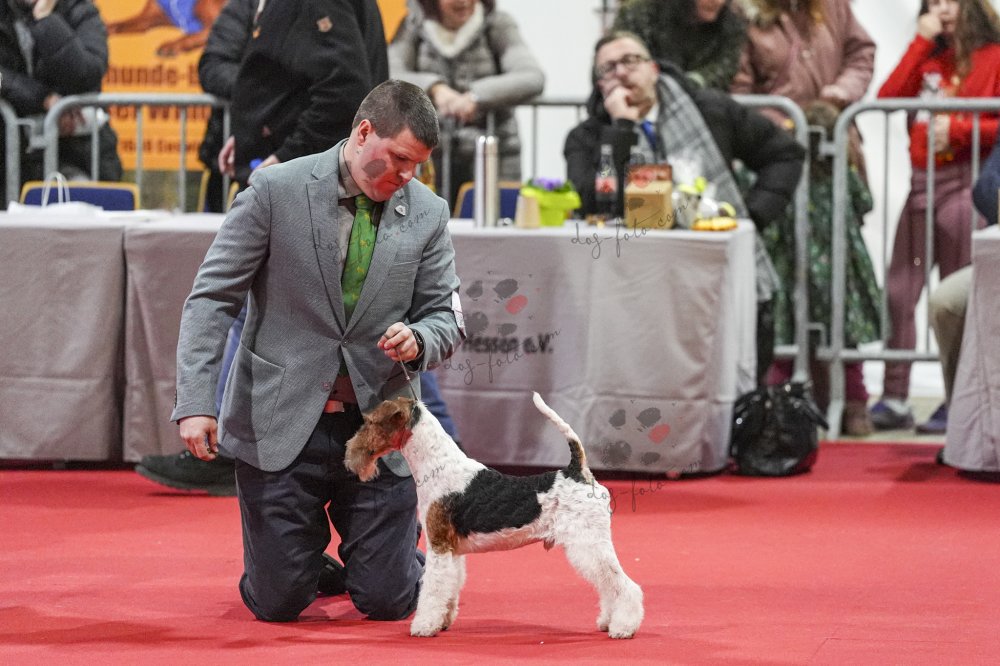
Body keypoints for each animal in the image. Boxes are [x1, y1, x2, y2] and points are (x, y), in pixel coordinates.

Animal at [344, 392, 644, 638]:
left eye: (370, 422)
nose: (349, 453)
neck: (438, 465)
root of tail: (579, 472)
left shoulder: (438, 545)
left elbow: (433, 587)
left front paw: (424, 626)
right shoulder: (452, 550)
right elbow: (450, 587)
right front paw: (443, 621)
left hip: (589, 543)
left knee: (625, 585)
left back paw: (623, 628)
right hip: (591, 545)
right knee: (608, 585)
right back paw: (607, 621)